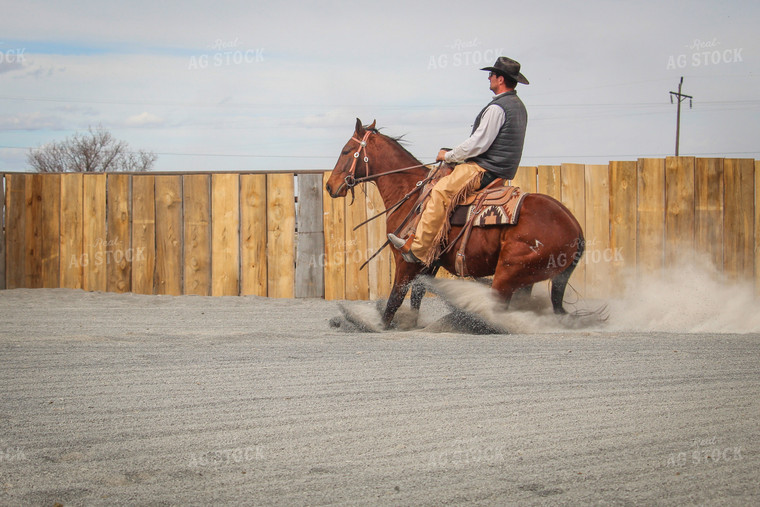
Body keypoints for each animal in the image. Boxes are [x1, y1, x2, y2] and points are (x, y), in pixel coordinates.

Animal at [324, 121, 584, 332]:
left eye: (346, 151)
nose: (330, 185)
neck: (413, 194)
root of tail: (575, 228)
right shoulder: (428, 265)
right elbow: (416, 298)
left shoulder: (404, 262)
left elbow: (394, 300)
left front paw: (375, 325)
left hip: (508, 272)